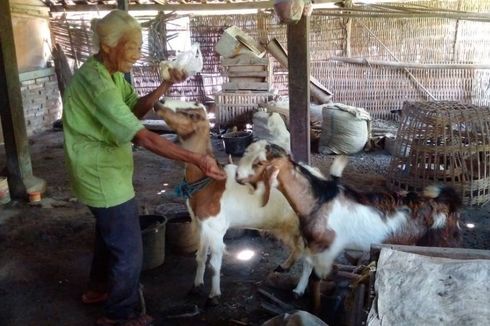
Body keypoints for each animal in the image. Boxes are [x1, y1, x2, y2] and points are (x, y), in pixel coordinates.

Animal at [154, 100, 306, 304]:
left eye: (193, 114)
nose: (159, 102)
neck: (210, 184)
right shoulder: (202, 226)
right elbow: (200, 257)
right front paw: (196, 286)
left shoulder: (217, 228)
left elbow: (214, 263)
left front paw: (214, 295)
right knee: (299, 248)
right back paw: (283, 267)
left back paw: (299, 290)